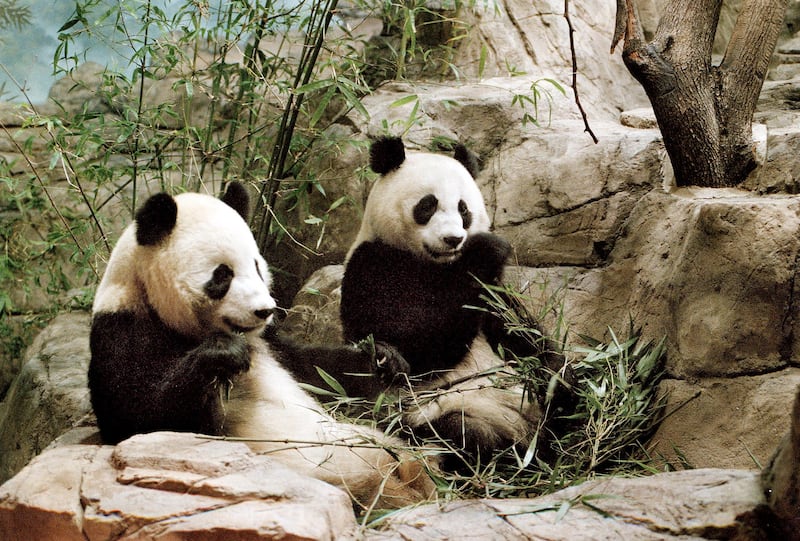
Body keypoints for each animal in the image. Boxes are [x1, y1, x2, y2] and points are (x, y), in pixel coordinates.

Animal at [88, 182, 434, 509]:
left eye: (256, 265)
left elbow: (319, 368)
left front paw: (382, 358)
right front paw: (224, 354)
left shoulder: (271, 343)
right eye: (222, 275)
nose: (264, 310)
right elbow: (142, 422)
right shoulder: (123, 332)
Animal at [336, 136, 569, 471]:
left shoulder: (492, 294)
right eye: (428, 205)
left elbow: (522, 334)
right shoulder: (374, 265)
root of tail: (528, 439)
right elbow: (419, 344)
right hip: (437, 413)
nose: (453, 239)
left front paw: (553, 372)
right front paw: (486, 247)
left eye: (464, 209)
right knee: (462, 433)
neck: (439, 265)